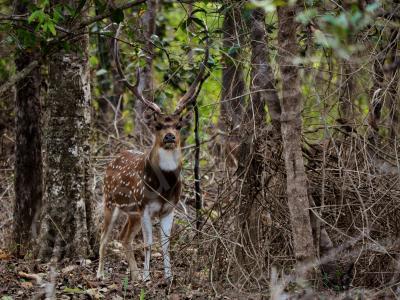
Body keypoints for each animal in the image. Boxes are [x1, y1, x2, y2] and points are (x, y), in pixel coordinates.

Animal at [97, 24, 209, 282]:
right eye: (158, 125)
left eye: (178, 125)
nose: (169, 136)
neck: (164, 186)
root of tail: (114, 158)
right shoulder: (146, 206)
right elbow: (149, 244)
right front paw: (149, 278)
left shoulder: (170, 208)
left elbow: (165, 245)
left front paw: (167, 277)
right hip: (110, 200)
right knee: (104, 237)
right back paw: (100, 274)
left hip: (132, 213)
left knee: (124, 237)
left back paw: (134, 274)